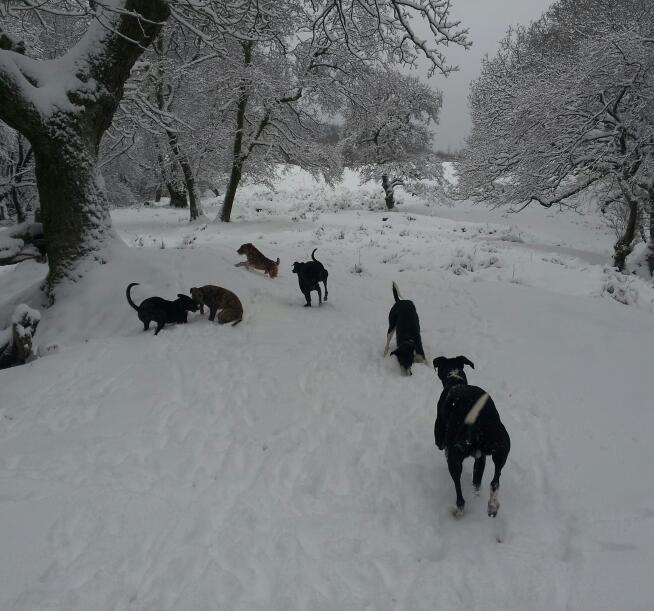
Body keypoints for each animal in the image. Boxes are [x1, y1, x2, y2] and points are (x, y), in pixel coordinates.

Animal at [436, 356, 512, 520]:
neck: (456, 381)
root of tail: (478, 424)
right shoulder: (481, 458)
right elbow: (477, 481)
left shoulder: (439, 439)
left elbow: (440, 445)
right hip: (501, 450)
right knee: (495, 482)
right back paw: (492, 506)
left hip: (454, 460)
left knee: (460, 497)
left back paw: (458, 512)